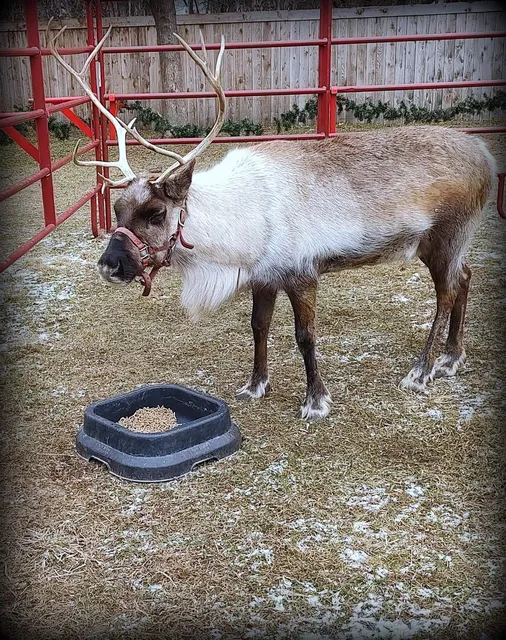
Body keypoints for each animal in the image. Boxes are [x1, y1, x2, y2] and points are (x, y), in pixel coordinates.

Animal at [49, 23, 496, 420]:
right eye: (117, 209)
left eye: (156, 213)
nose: (109, 265)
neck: (239, 225)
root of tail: (486, 157)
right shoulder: (263, 277)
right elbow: (258, 327)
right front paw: (255, 385)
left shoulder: (302, 273)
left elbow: (305, 336)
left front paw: (316, 401)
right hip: (445, 244)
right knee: (466, 277)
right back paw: (452, 358)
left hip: (445, 237)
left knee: (447, 292)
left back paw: (422, 370)